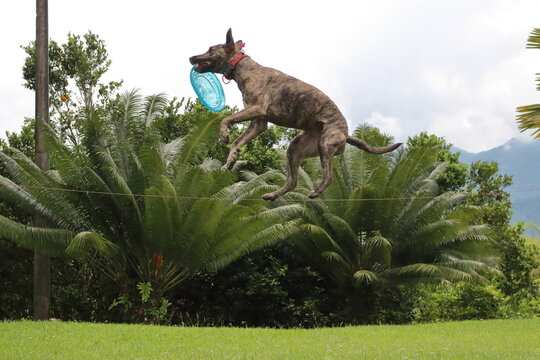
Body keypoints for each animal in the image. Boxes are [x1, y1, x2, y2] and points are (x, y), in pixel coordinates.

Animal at [188, 29, 398, 201]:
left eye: (210, 48)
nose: (190, 57)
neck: (242, 66)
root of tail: (345, 134)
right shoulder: (258, 124)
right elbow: (238, 142)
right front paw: (230, 161)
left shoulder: (257, 109)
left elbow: (226, 119)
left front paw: (224, 135)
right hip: (296, 148)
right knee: (293, 181)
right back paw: (273, 195)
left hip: (325, 145)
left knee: (328, 177)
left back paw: (316, 191)